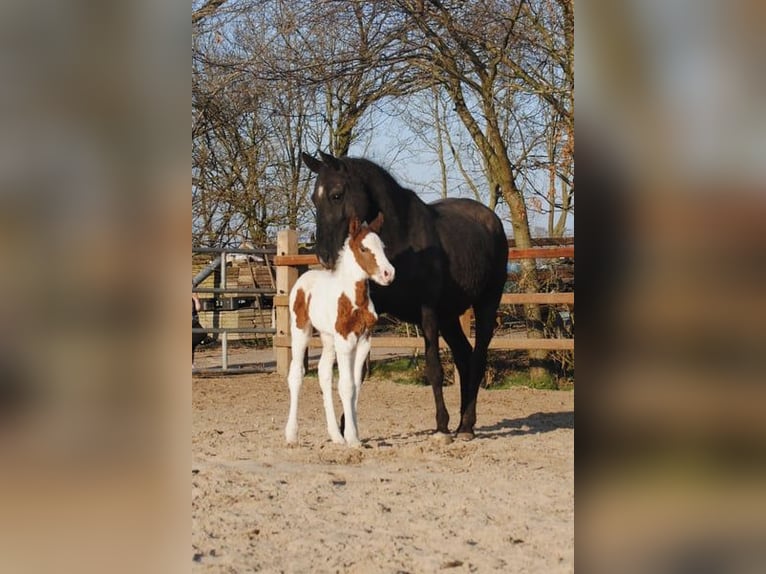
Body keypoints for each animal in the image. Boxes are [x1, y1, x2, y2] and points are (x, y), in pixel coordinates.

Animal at [285, 213, 395, 447]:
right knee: (296, 374)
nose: (388, 274)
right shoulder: (345, 341)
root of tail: (303, 279)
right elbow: (346, 386)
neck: (353, 299)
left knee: (324, 373)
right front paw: (352, 437)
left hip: (328, 338)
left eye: (382, 246)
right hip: (301, 331)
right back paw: (291, 435)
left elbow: (355, 385)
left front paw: (353, 435)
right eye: (363, 248)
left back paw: (335, 435)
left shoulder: (364, 340)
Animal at [302, 151, 508, 439]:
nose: (324, 256)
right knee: (464, 357)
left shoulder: (428, 312)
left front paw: (441, 426)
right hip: (449, 317)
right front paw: (345, 427)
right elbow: (357, 372)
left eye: (336, 194)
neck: (402, 239)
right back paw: (463, 423)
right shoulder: (374, 312)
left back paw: (465, 426)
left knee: (477, 359)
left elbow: (433, 367)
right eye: (314, 198)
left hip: (486, 304)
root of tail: (493, 222)